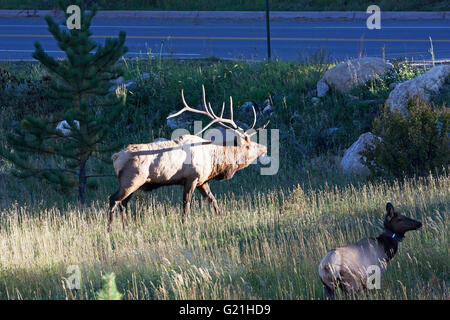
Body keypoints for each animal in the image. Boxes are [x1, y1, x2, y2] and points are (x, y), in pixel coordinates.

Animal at [108, 86, 268, 230]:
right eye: (247, 145)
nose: (264, 148)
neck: (214, 162)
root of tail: (116, 157)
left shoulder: (202, 181)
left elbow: (213, 200)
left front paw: (222, 217)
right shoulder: (192, 178)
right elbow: (186, 204)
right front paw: (184, 224)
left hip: (132, 183)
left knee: (123, 203)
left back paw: (126, 227)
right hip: (131, 180)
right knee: (114, 199)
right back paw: (110, 230)